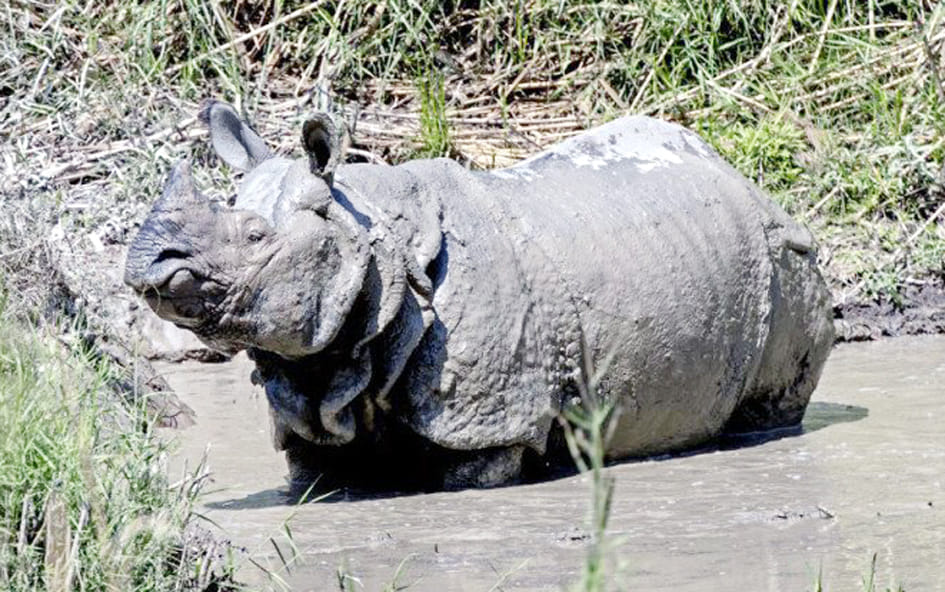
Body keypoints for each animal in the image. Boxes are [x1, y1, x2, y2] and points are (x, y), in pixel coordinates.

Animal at [124, 100, 833, 490]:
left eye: (254, 236)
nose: (146, 265)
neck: (371, 239)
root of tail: (749, 184)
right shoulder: (312, 388)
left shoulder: (494, 424)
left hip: (786, 265)